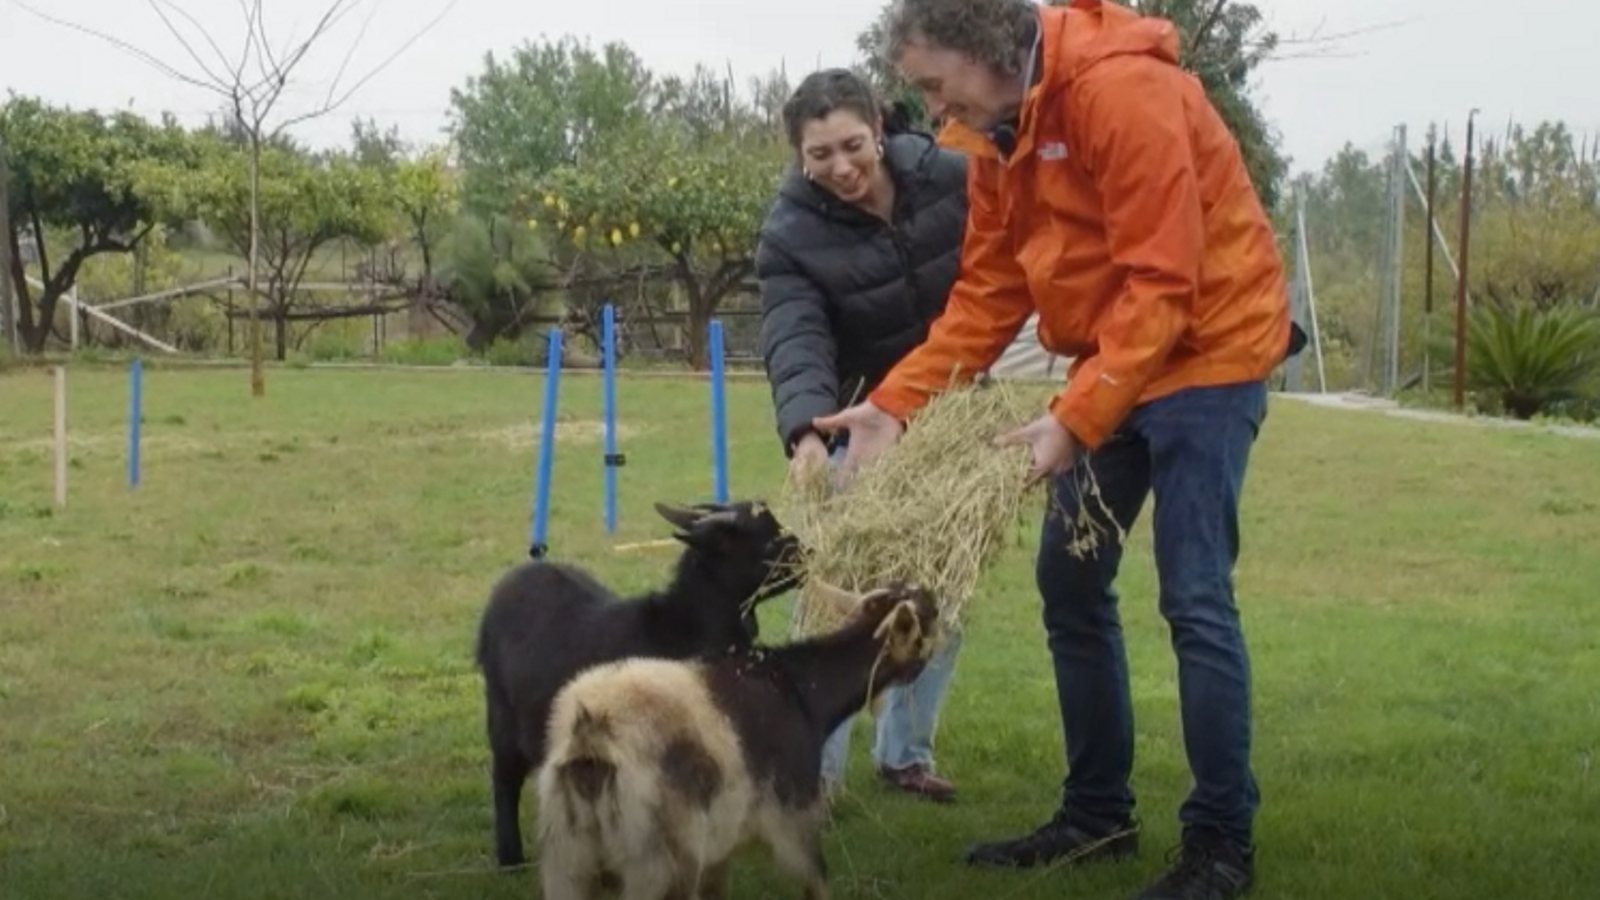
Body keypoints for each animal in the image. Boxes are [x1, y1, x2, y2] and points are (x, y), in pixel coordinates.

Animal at [475, 499, 805, 869]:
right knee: (505, 779)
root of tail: (518, 574)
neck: (685, 627)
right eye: (767, 539)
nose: (809, 554)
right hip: (502, 715)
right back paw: (510, 856)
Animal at [534, 581, 943, 900]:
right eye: (923, 620)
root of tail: (591, 738)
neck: (800, 690)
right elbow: (817, 883)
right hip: (657, 869)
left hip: (568, 865)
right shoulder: (794, 817)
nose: (933, 593)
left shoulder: (721, 844)